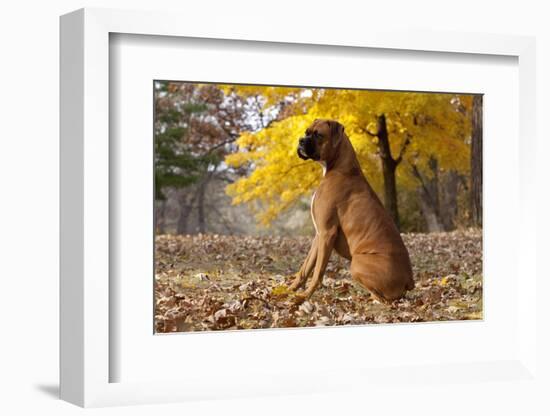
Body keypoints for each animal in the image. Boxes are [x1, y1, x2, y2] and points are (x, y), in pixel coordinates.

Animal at [294, 118, 414, 300]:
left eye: (318, 135)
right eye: (306, 132)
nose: (301, 140)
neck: (339, 167)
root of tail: (409, 279)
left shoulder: (327, 233)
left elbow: (318, 272)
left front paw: (305, 295)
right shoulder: (319, 234)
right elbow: (305, 268)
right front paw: (288, 291)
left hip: (357, 263)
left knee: (382, 298)